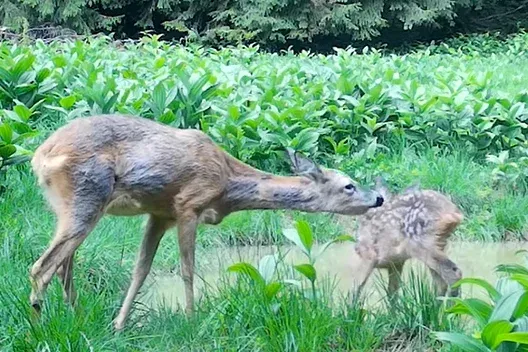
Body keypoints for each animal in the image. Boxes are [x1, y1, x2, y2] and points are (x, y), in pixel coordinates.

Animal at [28, 113, 384, 330]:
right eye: (349, 185)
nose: (378, 199)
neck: (226, 184)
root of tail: (40, 156)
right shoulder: (189, 205)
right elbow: (188, 269)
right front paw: (191, 319)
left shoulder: (160, 214)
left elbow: (141, 270)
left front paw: (119, 324)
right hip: (86, 197)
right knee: (41, 267)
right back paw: (39, 326)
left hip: (71, 207)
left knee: (62, 266)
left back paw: (77, 318)